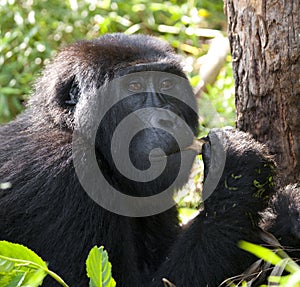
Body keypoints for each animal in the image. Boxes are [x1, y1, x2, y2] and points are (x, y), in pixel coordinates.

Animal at [0, 34, 298, 287]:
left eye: (166, 84)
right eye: (134, 86)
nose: (167, 119)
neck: (72, 131)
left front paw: (287, 214)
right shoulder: (66, 177)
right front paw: (237, 174)